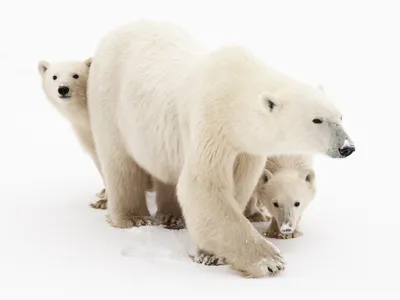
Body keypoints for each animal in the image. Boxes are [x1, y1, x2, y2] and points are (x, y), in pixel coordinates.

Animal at [86, 21, 354, 278]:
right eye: (317, 120)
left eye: (340, 116)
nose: (347, 147)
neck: (234, 97)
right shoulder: (210, 124)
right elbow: (203, 186)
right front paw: (268, 261)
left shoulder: (245, 148)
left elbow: (238, 186)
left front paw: (212, 252)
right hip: (109, 100)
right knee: (119, 161)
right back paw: (132, 217)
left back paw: (171, 216)